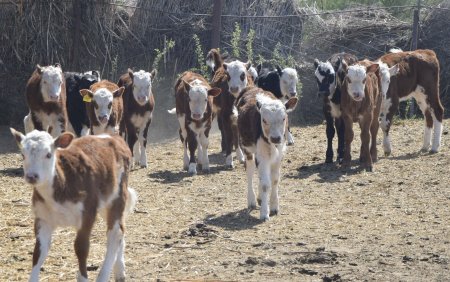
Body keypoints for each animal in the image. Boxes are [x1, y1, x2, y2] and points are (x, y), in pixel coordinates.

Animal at [9, 129, 136, 282]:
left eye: (48, 154)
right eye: (23, 154)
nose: (32, 176)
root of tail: (114, 136)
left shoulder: (87, 214)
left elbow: (81, 248)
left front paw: (83, 277)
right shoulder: (42, 218)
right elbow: (38, 252)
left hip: (118, 195)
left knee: (115, 233)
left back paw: (104, 275)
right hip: (105, 201)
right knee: (120, 231)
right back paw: (120, 271)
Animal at [236, 87, 298, 221]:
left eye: (284, 118)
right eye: (264, 120)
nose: (275, 138)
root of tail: (252, 88)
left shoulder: (278, 156)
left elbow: (274, 180)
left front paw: (274, 206)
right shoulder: (262, 156)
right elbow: (265, 184)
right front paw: (264, 213)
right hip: (248, 150)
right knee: (250, 171)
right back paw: (252, 200)